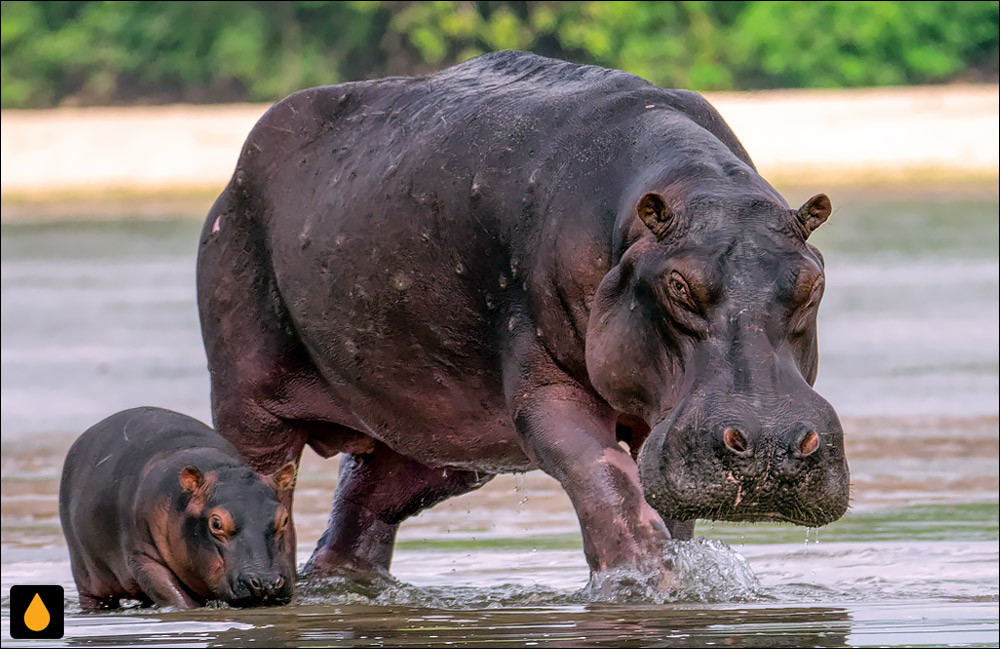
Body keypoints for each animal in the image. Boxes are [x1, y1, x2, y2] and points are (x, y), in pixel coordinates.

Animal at [60, 404, 294, 608]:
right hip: (88, 580)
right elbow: (174, 595)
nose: (265, 583)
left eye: (284, 519)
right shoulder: (143, 558)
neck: (221, 470)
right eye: (216, 523)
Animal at [197, 50, 852, 592]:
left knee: (363, 511)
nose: (769, 444)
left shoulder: (663, 424)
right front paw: (646, 581)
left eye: (813, 282)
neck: (696, 190)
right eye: (678, 285)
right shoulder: (546, 387)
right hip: (248, 401)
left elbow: (659, 501)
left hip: (434, 440)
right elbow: (606, 481)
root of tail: (234, 175)